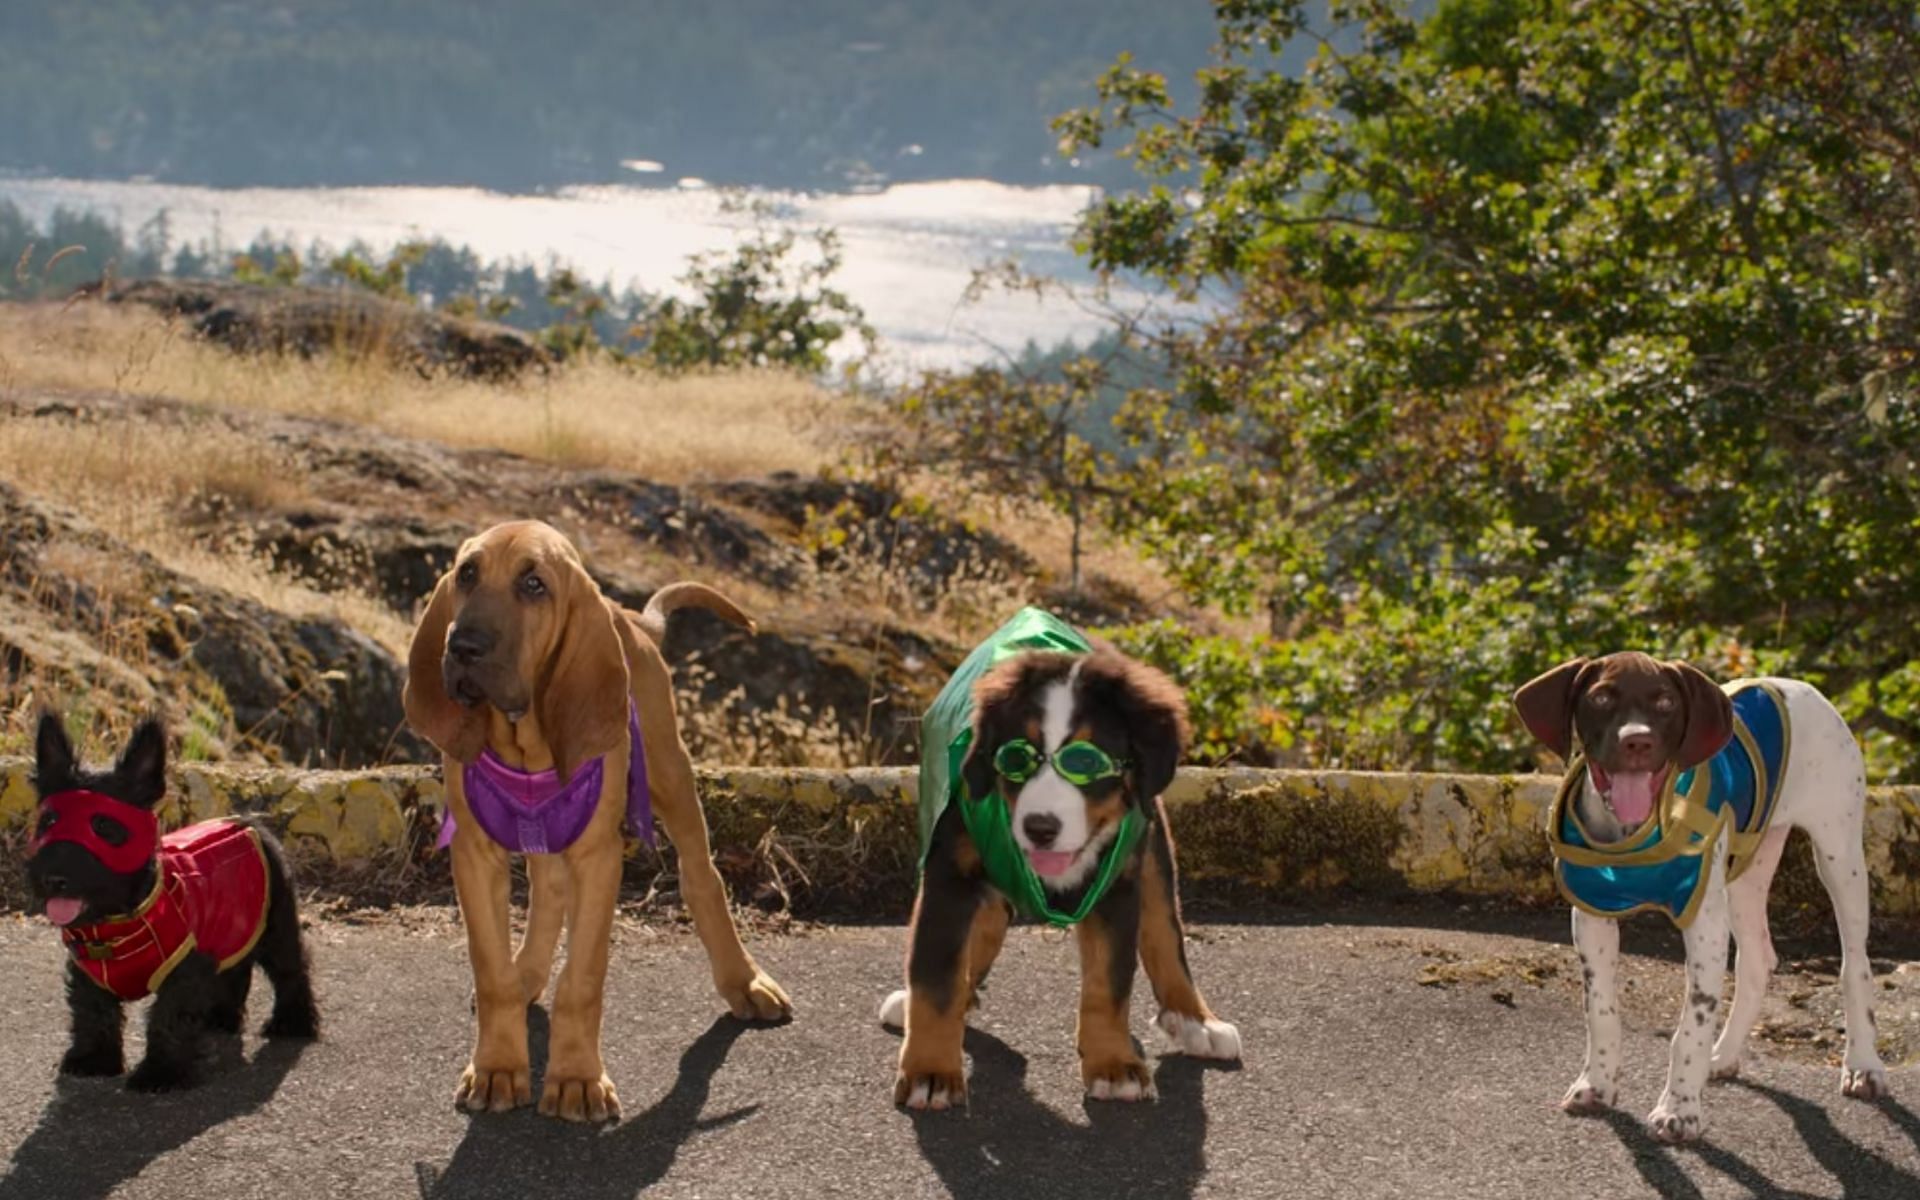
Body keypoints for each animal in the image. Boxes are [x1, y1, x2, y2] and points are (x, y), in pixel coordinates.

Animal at [27, 714, 318, 1090]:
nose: (53, 878)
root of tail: (250, 822)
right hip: (231, 927)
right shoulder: (88, 973)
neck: (117, 921)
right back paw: (219, 1019)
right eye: (48, 822)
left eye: (104, 826)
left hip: (276, 925)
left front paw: (159, 1073)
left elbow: (168, 1019)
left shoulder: (184, 969)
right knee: (234, 969)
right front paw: (93, 1060)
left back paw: (292, 1023)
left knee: (291, 970)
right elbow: (93, 1012)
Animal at [401, 518, 791, 1121]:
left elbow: (582, 980)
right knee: (547, 891)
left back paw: (744, 982)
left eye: (533, 584)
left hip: (670, 777)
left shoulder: (598, 855)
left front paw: (576, 1080)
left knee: (702, 877)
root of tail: (627, 617)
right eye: (466, 574)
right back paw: (528, 974)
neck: (526, 740)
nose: (462, 646)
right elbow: (492, 971)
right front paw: (497, 1067)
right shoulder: (475, 853)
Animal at [879, 641, 1236, 1105]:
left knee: (1164, 928)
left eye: (1085, 761)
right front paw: (931, 1073)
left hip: (1152, 846)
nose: (1040, 827)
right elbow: (935, 979)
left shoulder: (1115, 883)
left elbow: (1110, 980)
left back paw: (1197, 1021)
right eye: (1016, 757)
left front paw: (1113, 1064)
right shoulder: (949, 874)